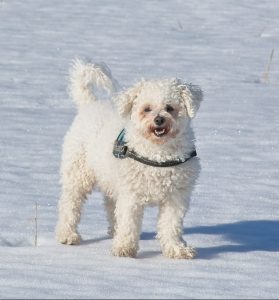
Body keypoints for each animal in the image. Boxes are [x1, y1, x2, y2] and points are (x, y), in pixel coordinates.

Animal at [55, 59, 203, 258]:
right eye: (147, 109)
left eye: (170, 108)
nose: (159, 120)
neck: (158, 154)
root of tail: (90, 104)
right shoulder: (131, 195)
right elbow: (129, 222)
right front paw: (125, 248)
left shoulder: (176, 197)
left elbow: (171, 226)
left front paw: (177, 250)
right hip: (78, 174)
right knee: (70, 204)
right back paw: (67, 234)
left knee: (110, 205)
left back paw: (113, 231)